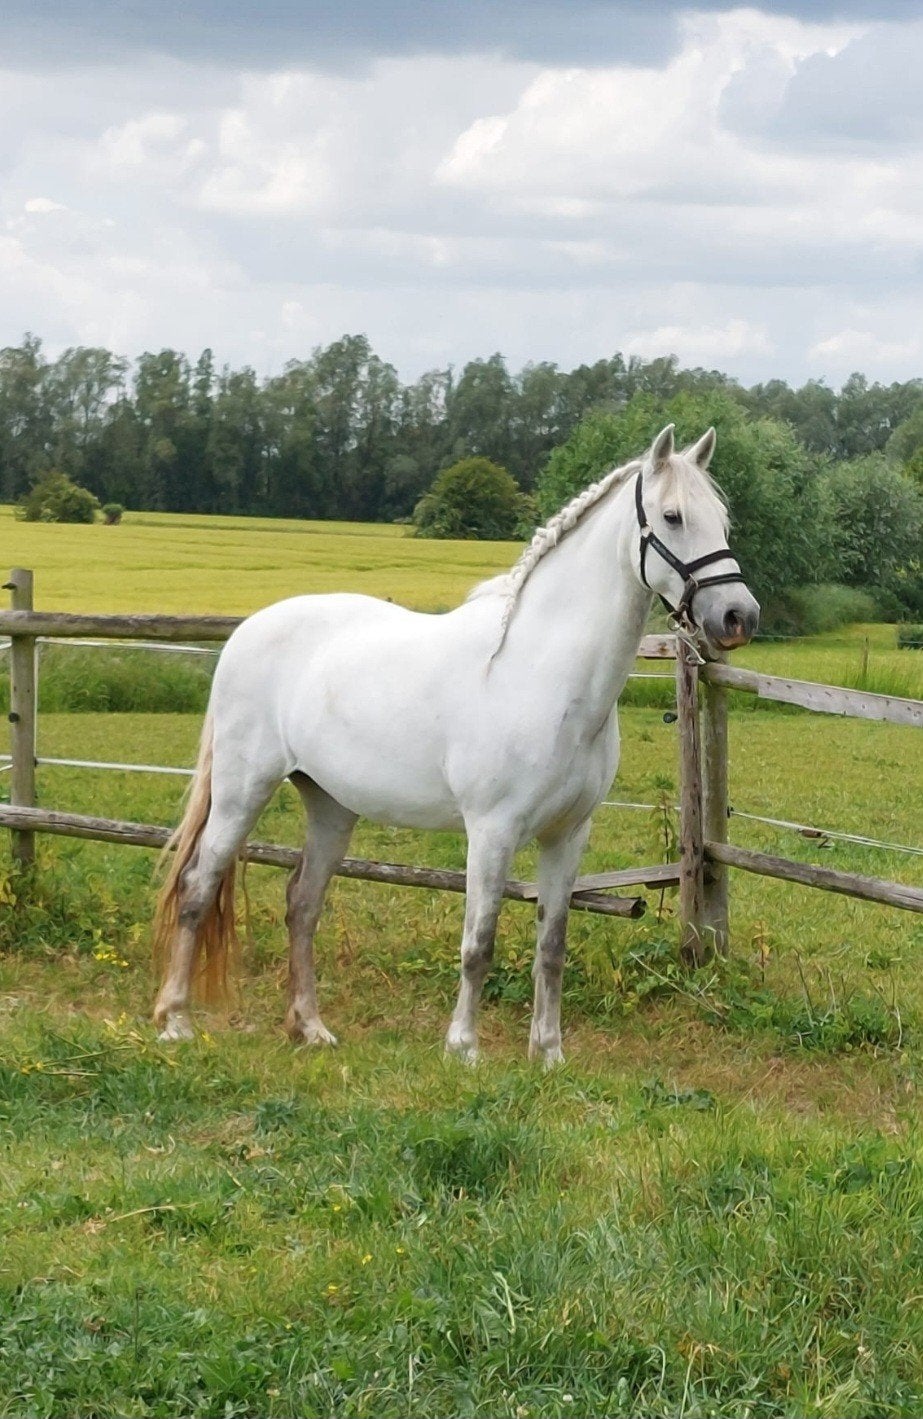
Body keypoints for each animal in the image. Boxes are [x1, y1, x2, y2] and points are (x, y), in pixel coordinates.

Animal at [152, 423, 759, 1063]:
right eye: (672, 516)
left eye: (722, 520)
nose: (738, 616)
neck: (540, 672)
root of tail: (248, 630)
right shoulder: (492, 831)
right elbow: (479, 942)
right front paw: (464, 1048)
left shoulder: (568, 834)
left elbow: (552, 945)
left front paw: (548, 1054)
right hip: (242, 791)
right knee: (197, 888)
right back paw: (175, 1020)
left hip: (330, 806)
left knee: (302, 904)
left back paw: (310, 1027)